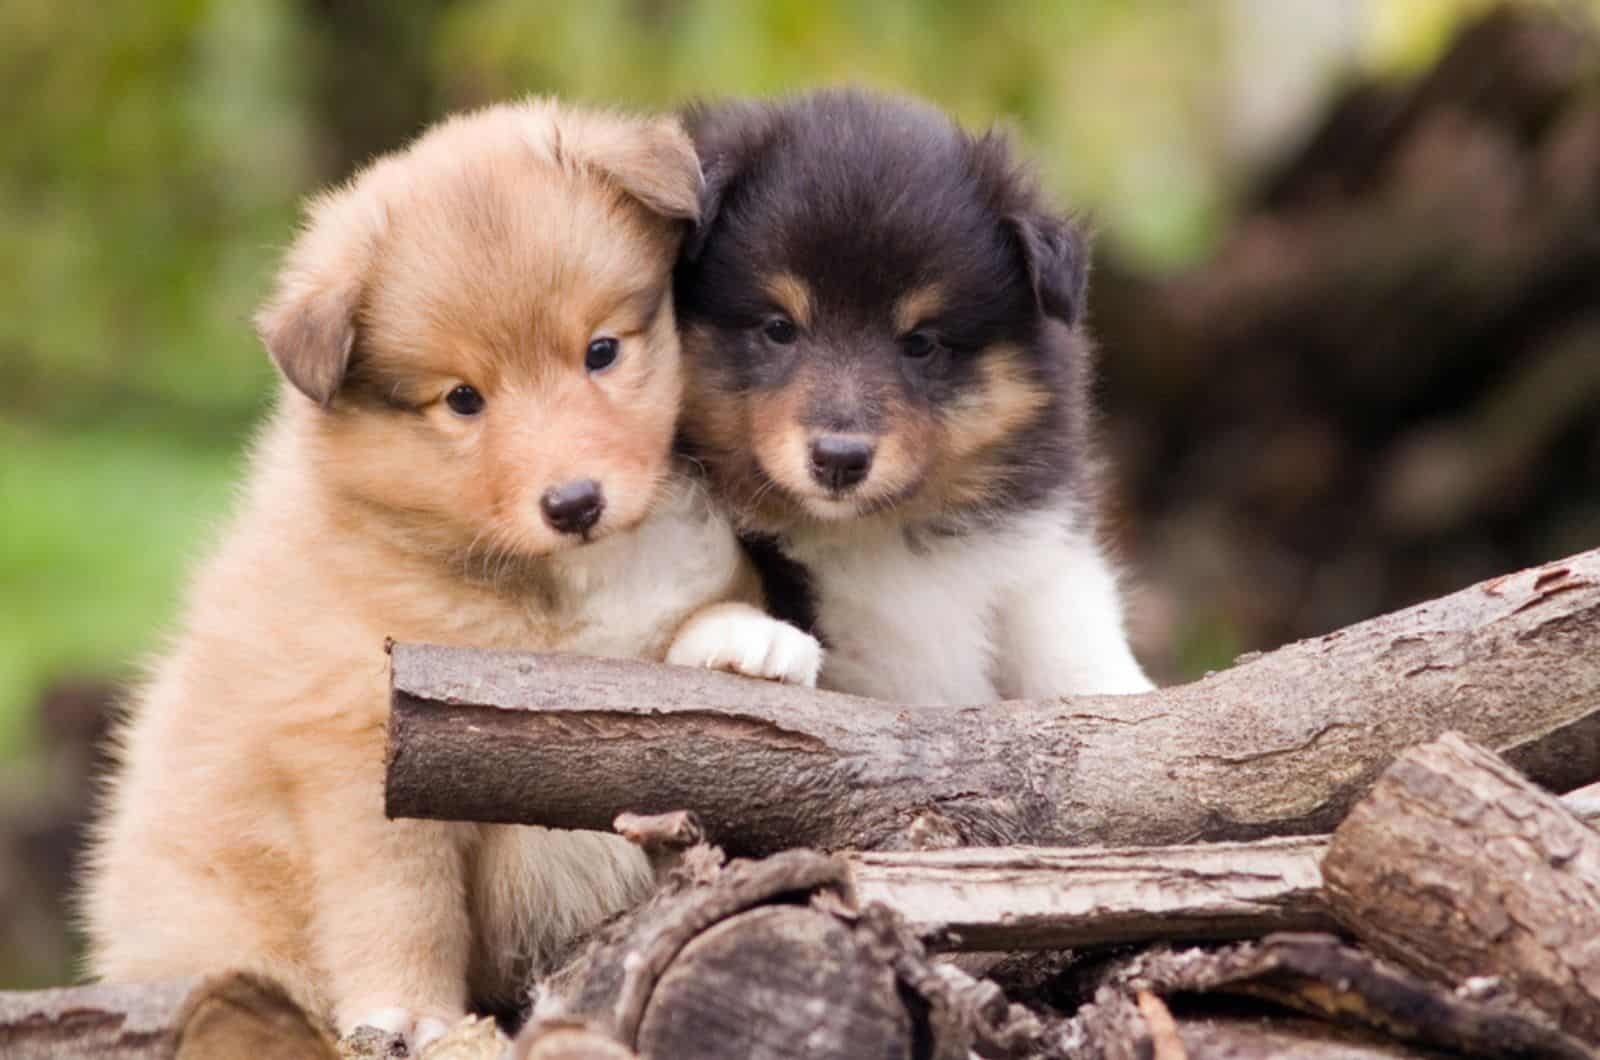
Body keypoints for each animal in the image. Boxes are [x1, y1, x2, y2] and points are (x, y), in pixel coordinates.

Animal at [81, 101, 819, 1056]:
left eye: (602, 351)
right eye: (463, 399)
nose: (575, 503)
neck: (557, 584)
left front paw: (748, 643)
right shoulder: (360, 753)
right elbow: (401, 903)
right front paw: (406, 1011)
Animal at [675, 89, 1152, 704]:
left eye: (921, 342)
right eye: (778, 328)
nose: (840, 460)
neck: (877, 534)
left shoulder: (1039, 560)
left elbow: (1077, 648)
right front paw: (741, 637)